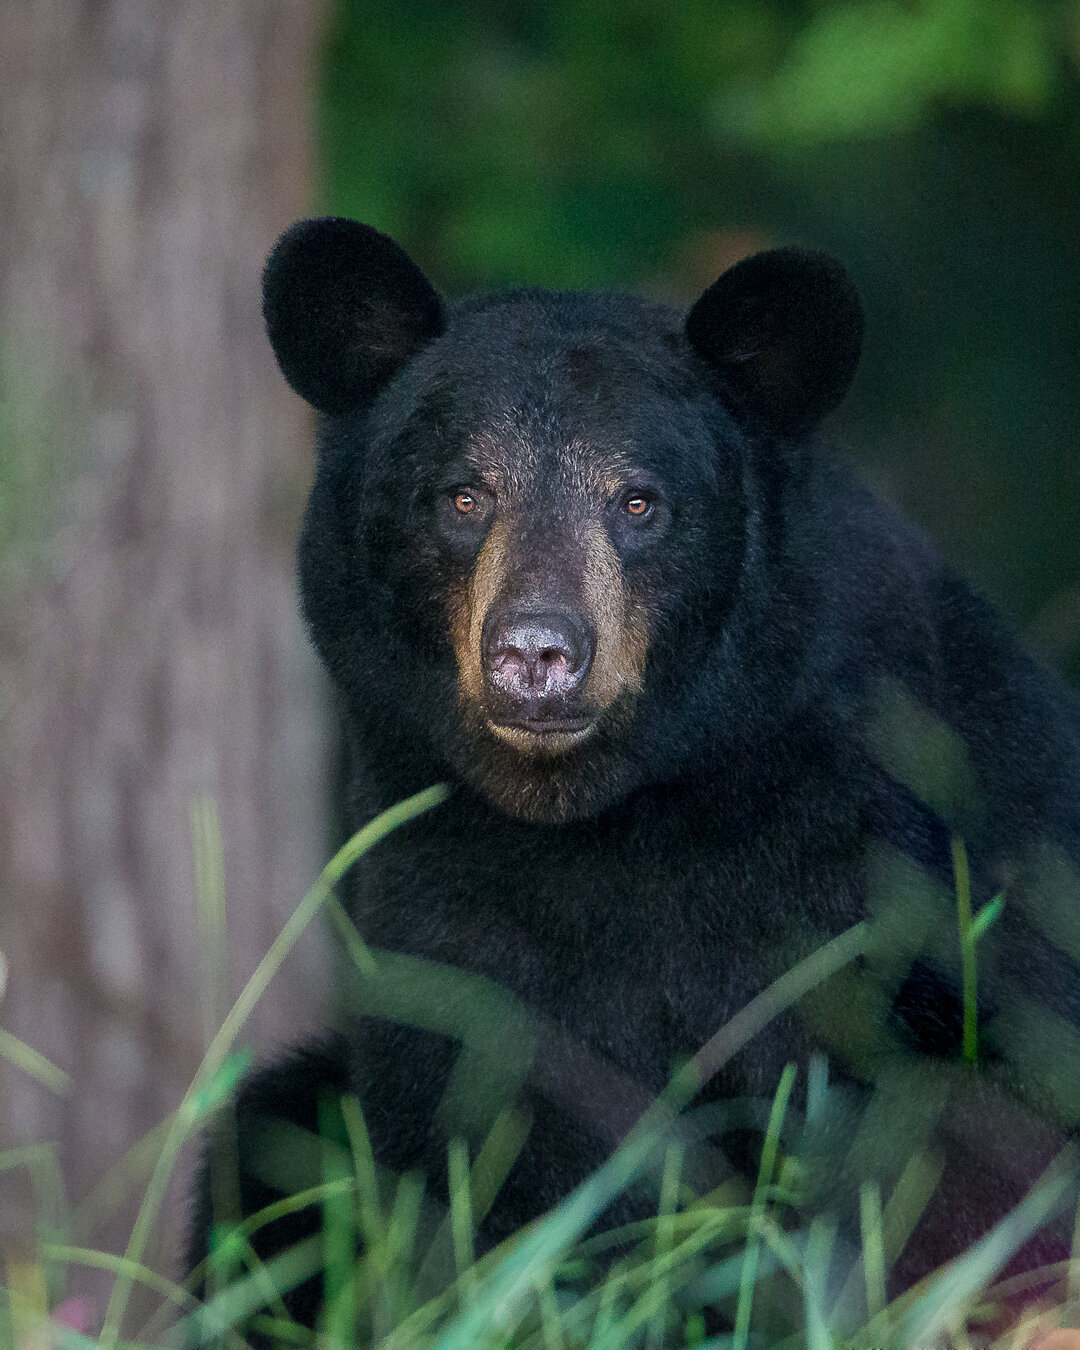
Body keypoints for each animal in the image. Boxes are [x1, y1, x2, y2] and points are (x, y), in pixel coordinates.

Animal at [187, 216, 1080, 1344]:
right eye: (463, 496)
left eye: (640, 502)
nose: (535, 650)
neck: (611, 817)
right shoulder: (441, 897)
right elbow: (496, 1136)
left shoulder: (885, 876)